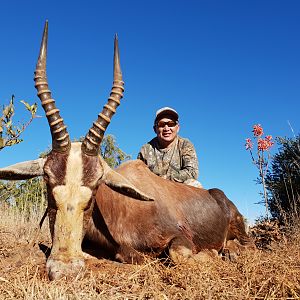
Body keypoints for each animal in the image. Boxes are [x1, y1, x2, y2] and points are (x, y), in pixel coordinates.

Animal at [0, 22, 254, 280]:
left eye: (95, 187)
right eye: (48, 180)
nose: (64, 268)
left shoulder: (181, 237)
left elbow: (176, 254)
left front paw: (211, 253)